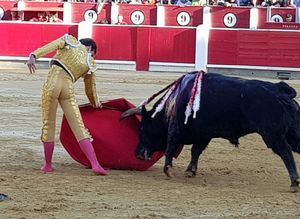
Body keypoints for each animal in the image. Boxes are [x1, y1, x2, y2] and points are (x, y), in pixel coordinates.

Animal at [135, 72, 300, 192]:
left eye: (143, 128)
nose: (138, 153)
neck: (174, 102)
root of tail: (280, 90)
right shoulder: (204, 135)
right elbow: (195, 151)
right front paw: (190, 171)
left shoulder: (176, 129)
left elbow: (171, 146)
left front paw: (168, 170)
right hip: (292, 133)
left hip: (272, 134)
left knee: (285, 152)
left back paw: (294, 182)